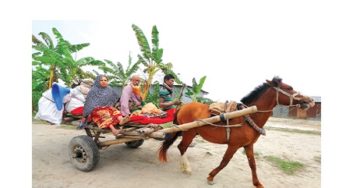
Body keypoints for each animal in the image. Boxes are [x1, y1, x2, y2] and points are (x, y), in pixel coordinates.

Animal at [158, 76, 314, 188]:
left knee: (180, 147)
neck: (248, 116)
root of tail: (182, 106)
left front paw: (257, 183)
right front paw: (211, 177)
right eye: (289, 88)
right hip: (188, 132)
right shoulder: (233, 145)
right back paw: (187, 168)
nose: (310, 100)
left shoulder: (248, 145)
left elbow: (253, 164)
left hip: (186, 132)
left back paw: (183, 167)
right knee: (182, 147)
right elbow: (224, 162)